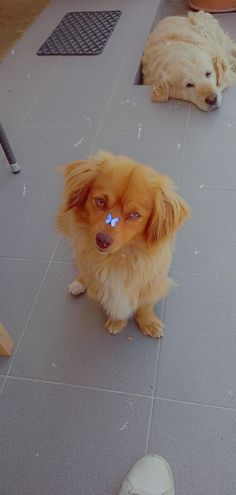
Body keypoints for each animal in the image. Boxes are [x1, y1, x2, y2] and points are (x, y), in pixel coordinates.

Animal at [56, 150, 190, 338]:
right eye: (100, 201)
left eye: (134, 215)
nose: (102, 240)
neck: (120, 258)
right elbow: (114, 304)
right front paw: (117, 321)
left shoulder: (152, 283)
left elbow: (145, 305)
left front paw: (148, 322)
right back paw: (79, 283)